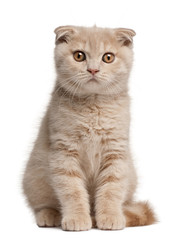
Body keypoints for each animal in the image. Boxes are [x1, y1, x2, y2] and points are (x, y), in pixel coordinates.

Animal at [22, 24, 156, 231]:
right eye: (79, 56)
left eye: (108, 57)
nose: (93, 69)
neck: (93, 107)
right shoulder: (64, 153)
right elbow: (72, 190)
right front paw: (77, 218)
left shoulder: (116, 152)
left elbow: (112, 188)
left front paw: (110, 216)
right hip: (34, 176)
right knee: (43, 203)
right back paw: (49, 215)